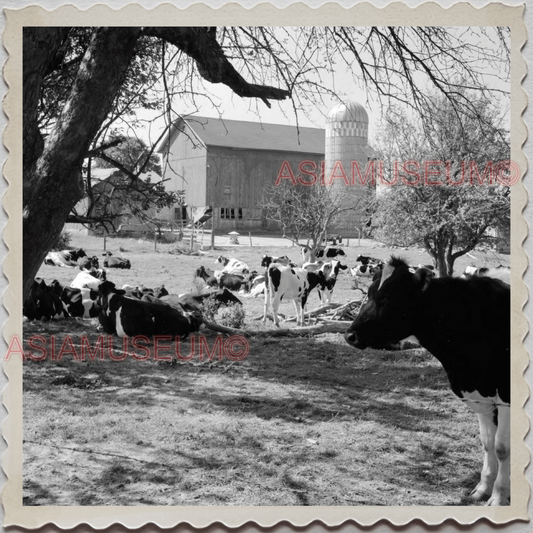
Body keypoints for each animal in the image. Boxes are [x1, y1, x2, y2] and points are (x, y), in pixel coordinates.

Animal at [342, 256, 510, 504]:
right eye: (370, 293)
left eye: (387, 297)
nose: (350, 336)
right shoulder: (481, 394)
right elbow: (487, 443)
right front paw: (482, 489)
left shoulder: (505, 397)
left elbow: (502, 448)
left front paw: (498, 497)